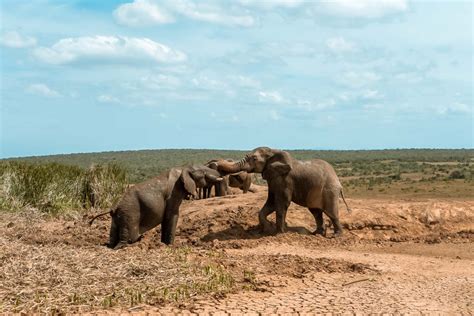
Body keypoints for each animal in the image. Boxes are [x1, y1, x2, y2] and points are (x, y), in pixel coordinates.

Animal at [90, 165, 224, 249]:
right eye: (204, 173)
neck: (184, 168)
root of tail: (114, 208)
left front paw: (163, 245)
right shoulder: (174, 193)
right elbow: (172, 215)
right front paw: (169, 246)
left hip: (119, 217)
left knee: (113, 235)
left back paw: (110, 246)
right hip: (130, 213)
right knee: (129, 237)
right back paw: (123, 246)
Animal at [213, 147, 350, 236]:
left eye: (254, 158)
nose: (216, 165)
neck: (273, 152)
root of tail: (338, 181)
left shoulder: (285, 180)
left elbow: (281, 203)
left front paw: (279, 233)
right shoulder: (273, 179)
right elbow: (271, 203)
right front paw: (268, 228)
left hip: (329, 191)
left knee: (331, 212)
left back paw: (336, 236)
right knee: (316, 212)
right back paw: (316, 233)